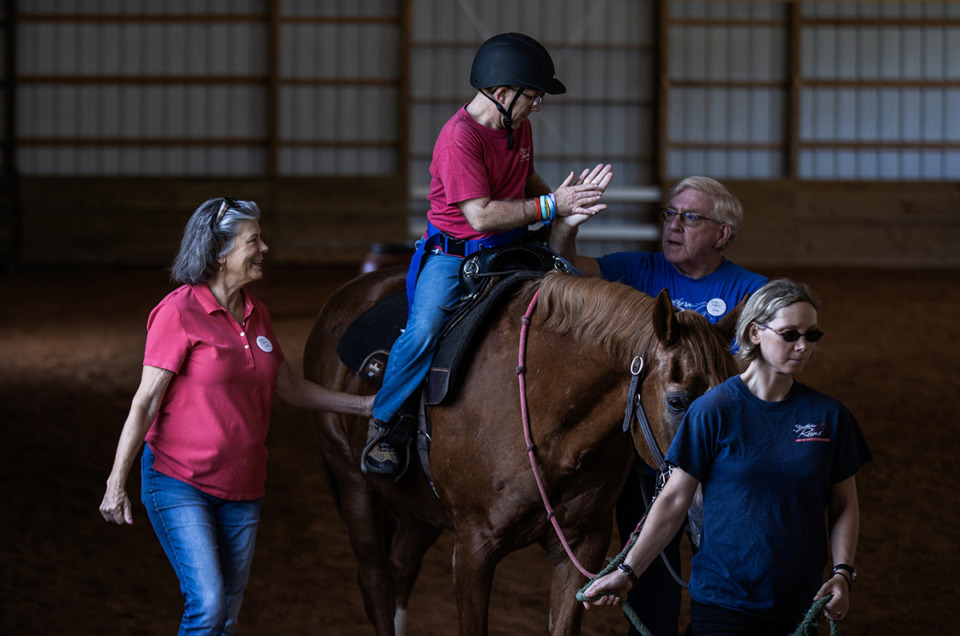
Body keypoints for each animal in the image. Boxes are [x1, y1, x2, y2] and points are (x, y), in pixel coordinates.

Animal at [304, 266, 740, 632]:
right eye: (677, 402)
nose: (706, 514)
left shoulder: (583, 545)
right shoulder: (473, 550)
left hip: (419, 512)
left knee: (401, 568)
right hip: (354, 484)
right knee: (376, 580)